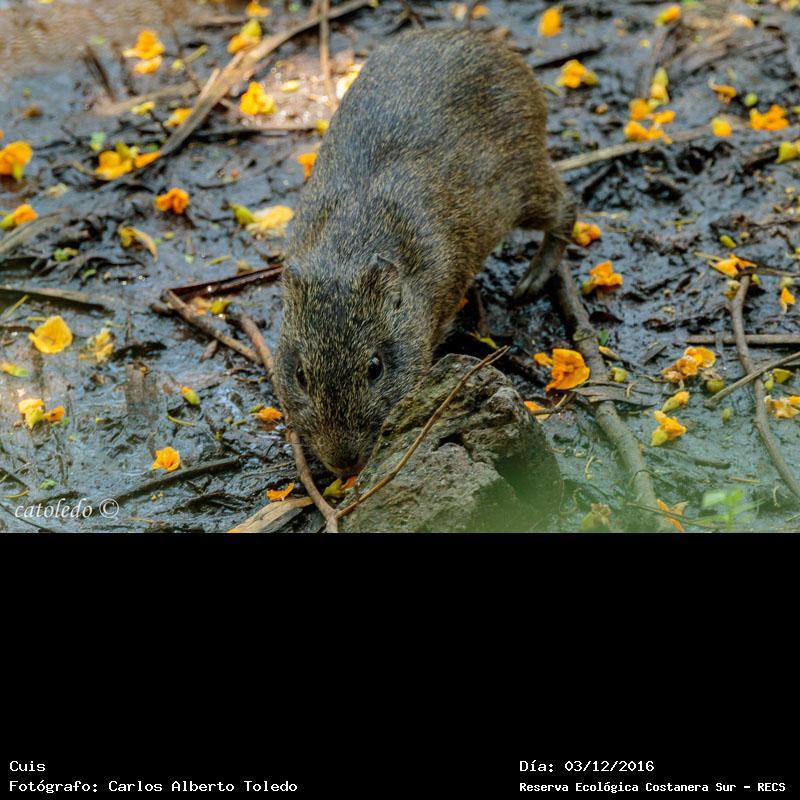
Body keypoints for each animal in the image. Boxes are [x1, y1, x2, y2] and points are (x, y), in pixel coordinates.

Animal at [274, 29, 575, 476]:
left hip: (527, 184)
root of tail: (498, 48)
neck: (349, 247)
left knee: (567, 209)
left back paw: (531, 281)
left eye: (375, 368)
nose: (344, 464)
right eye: (299, 374)